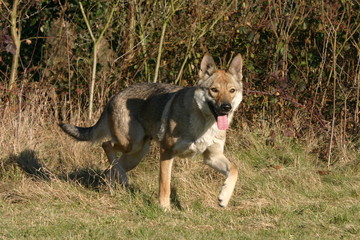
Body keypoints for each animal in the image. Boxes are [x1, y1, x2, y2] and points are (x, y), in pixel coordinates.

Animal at [59, 53, 245, 209]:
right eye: (214, 90)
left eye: (232, 91)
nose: (226, 107)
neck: (204, 124)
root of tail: (113, 97)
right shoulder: (167, 152)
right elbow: (165, 183)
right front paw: (164, 208)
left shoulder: (212, 157)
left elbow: (234, 170)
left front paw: (224, 198)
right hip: (132, 145)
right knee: (106, 145)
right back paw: (122, 179)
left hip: (136, 154)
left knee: (109, 170)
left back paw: (115, 187)